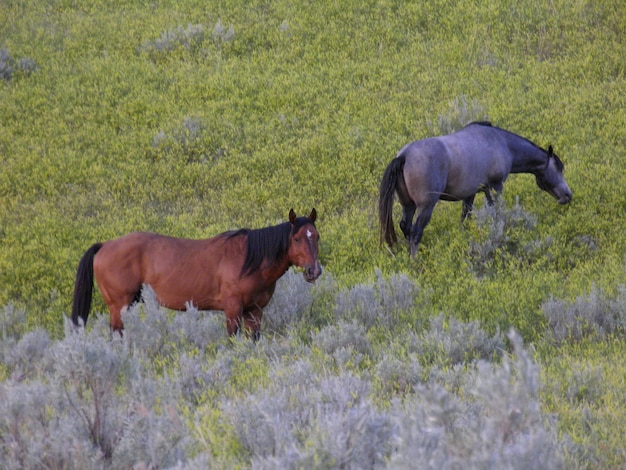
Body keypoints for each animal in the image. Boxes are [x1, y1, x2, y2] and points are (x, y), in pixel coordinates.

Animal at [70, 208, 320, 338]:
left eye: (316, 236)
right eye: (297, 239)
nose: (314, 271)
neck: (249, 260)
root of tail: (104, 246)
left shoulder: (255, 311)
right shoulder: (232, 309)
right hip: (118, 306)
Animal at [376, 122, 572, 258]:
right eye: (559, 167)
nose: (567, 195)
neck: (501, 142)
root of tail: (404, 156)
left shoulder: (470, 194)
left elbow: (466, 218)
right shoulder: (495, 187)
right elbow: (496, 211)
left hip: (408, 205)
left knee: (405, 226)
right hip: (426, 206)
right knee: (416, 231)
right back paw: (415, 260)